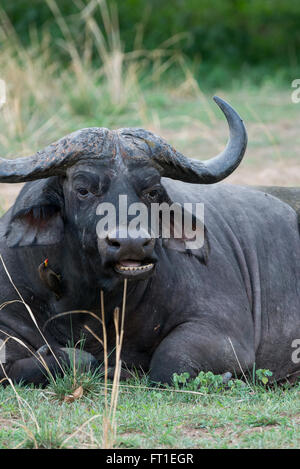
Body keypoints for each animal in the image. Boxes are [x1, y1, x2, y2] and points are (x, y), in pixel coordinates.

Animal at [0, 97, 298, 386]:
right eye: (83, 189)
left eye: (152, 191)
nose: (131, 243)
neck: (91, 305)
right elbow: (22, 366)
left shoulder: (222, 329)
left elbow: (169, 364)